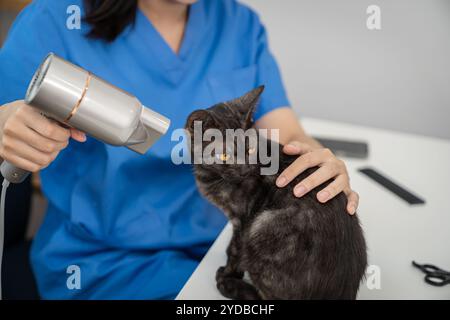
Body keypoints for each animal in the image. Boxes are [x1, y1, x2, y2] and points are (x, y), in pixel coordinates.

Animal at [185, 86, 368, 298]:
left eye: (250, 150)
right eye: (224, 155)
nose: (245, 170)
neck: (211, 176)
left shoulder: (243, 220)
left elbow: (235, 250)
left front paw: (229, 272)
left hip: (261, 226)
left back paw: (230, 286)